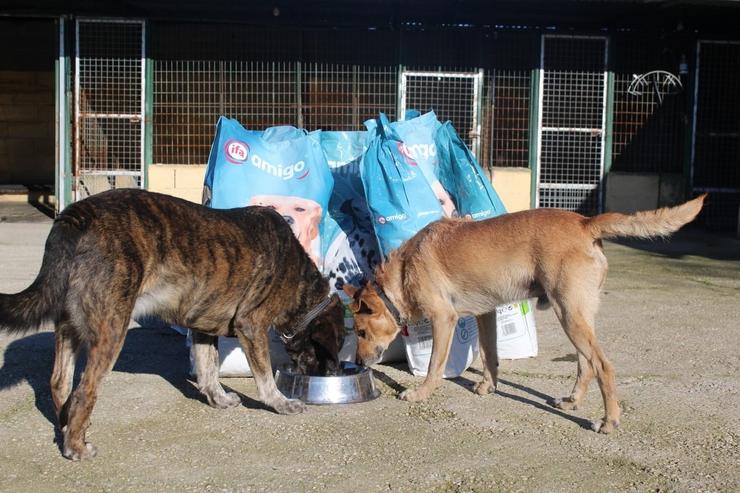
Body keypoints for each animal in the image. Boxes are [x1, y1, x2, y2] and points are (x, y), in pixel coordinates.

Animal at [0, 187, 346, 458]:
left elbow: (208, 370)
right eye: (338, 344)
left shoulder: (202, 329)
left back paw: (69, 425)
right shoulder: (252, 325)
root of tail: (76, 214)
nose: (334, 374)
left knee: (60, 382)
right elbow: (263, 378)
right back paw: (76, 447)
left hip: (68, 325)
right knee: (85, 390)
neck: (300, 278)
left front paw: (219, 398)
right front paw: (280, 402)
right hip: (112, 328)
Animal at [344, 194, 708, 432]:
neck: (404, 269)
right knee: (585, 364)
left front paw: (419, 394)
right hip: (576, 315)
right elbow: (490, 355)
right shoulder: (486, 314)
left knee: (602, 366)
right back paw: (572, 402)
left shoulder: (443, 320)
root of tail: (584, 222)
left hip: (569, 314)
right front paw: (488, 387)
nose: (359, 362)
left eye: (361, 332)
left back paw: (609, 421)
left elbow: (435, 366)